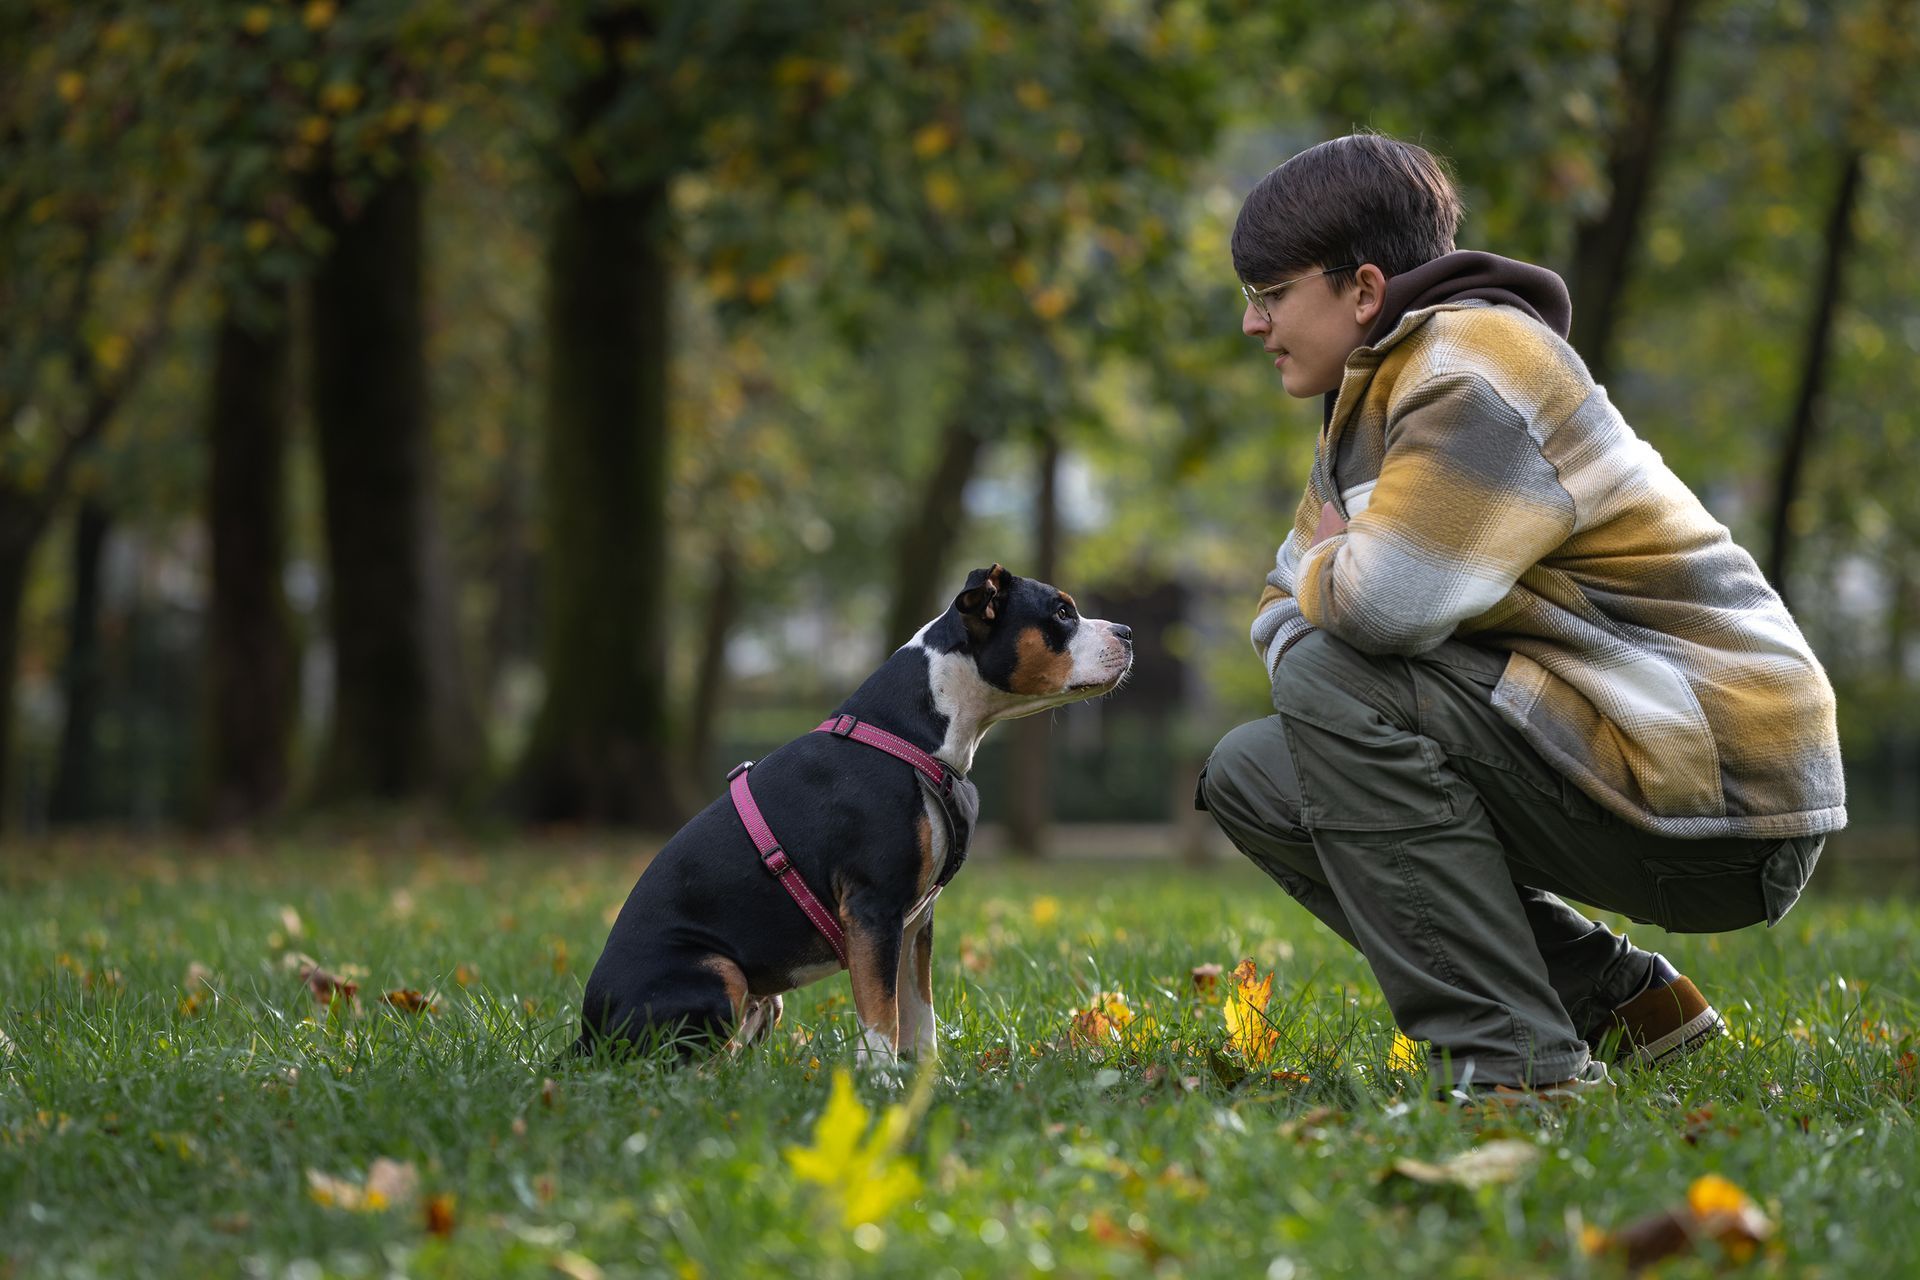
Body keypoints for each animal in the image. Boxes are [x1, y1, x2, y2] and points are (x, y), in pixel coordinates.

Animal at [576, 564, 1128, 1066]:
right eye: (1062, 612)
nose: (1126, 631)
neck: (913, 734)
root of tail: (586, 1037)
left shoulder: (914, 922)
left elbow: (919, 1016)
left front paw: (929, 1085)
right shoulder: (873, 910)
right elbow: (881, 1017)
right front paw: (882, 1088)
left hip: (766, 1000)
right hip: (719, 972)